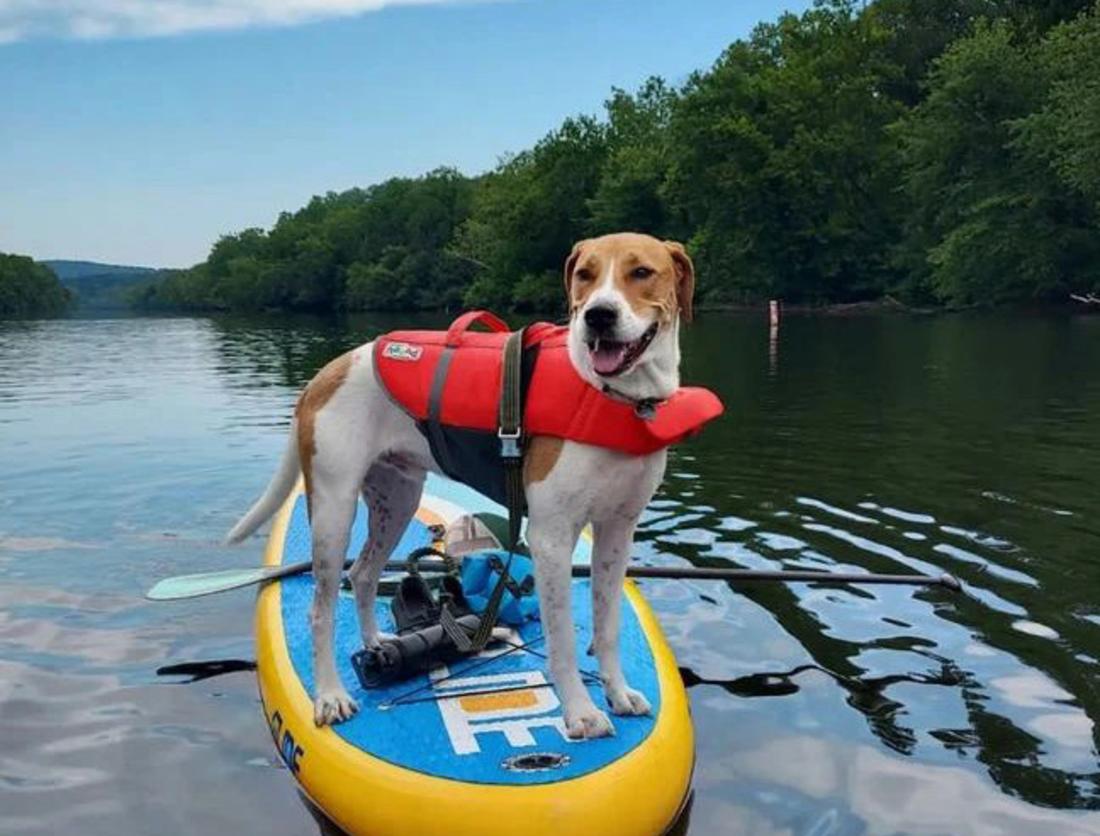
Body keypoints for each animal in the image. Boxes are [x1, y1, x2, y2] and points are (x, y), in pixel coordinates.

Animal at [225, 232, 695, 734]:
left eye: (641, 272)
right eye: (585, 274)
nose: (598, 316)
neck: (616, 399)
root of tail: (325, 373)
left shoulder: (617, 532)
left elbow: (607, 628)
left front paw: (617, 693)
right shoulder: (551, 537)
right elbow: (563, 639)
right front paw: (580, 713)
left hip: (398, 501)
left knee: (365, 574)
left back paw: (376, 645)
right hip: (334, 511)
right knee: (320, 609)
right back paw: (330, 695)